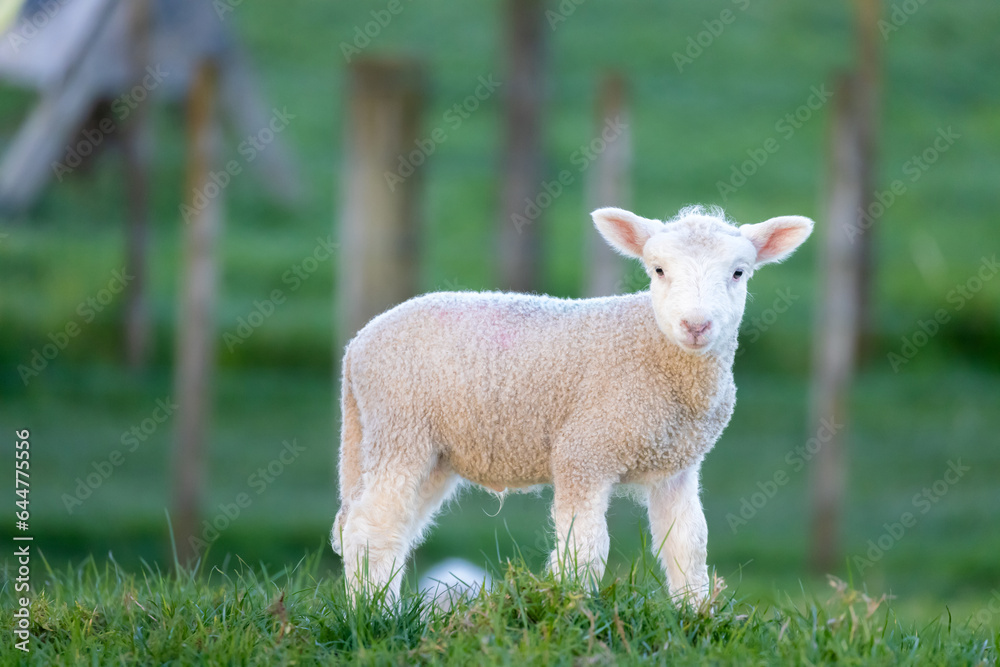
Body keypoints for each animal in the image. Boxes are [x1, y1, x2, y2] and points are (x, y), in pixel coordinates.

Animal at [331, 204, 813, 603]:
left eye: (739, 273)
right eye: (658, 270)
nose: (696, 325)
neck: (655, 352)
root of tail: (356, 348)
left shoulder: (676, 467)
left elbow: (688, 547)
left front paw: (695, 619)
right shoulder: (584, 454)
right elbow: (586, 549)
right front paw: (574, 610)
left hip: (430, 451)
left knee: (397, 527)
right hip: (399, 428)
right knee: (372, 529)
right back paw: (374, 615)